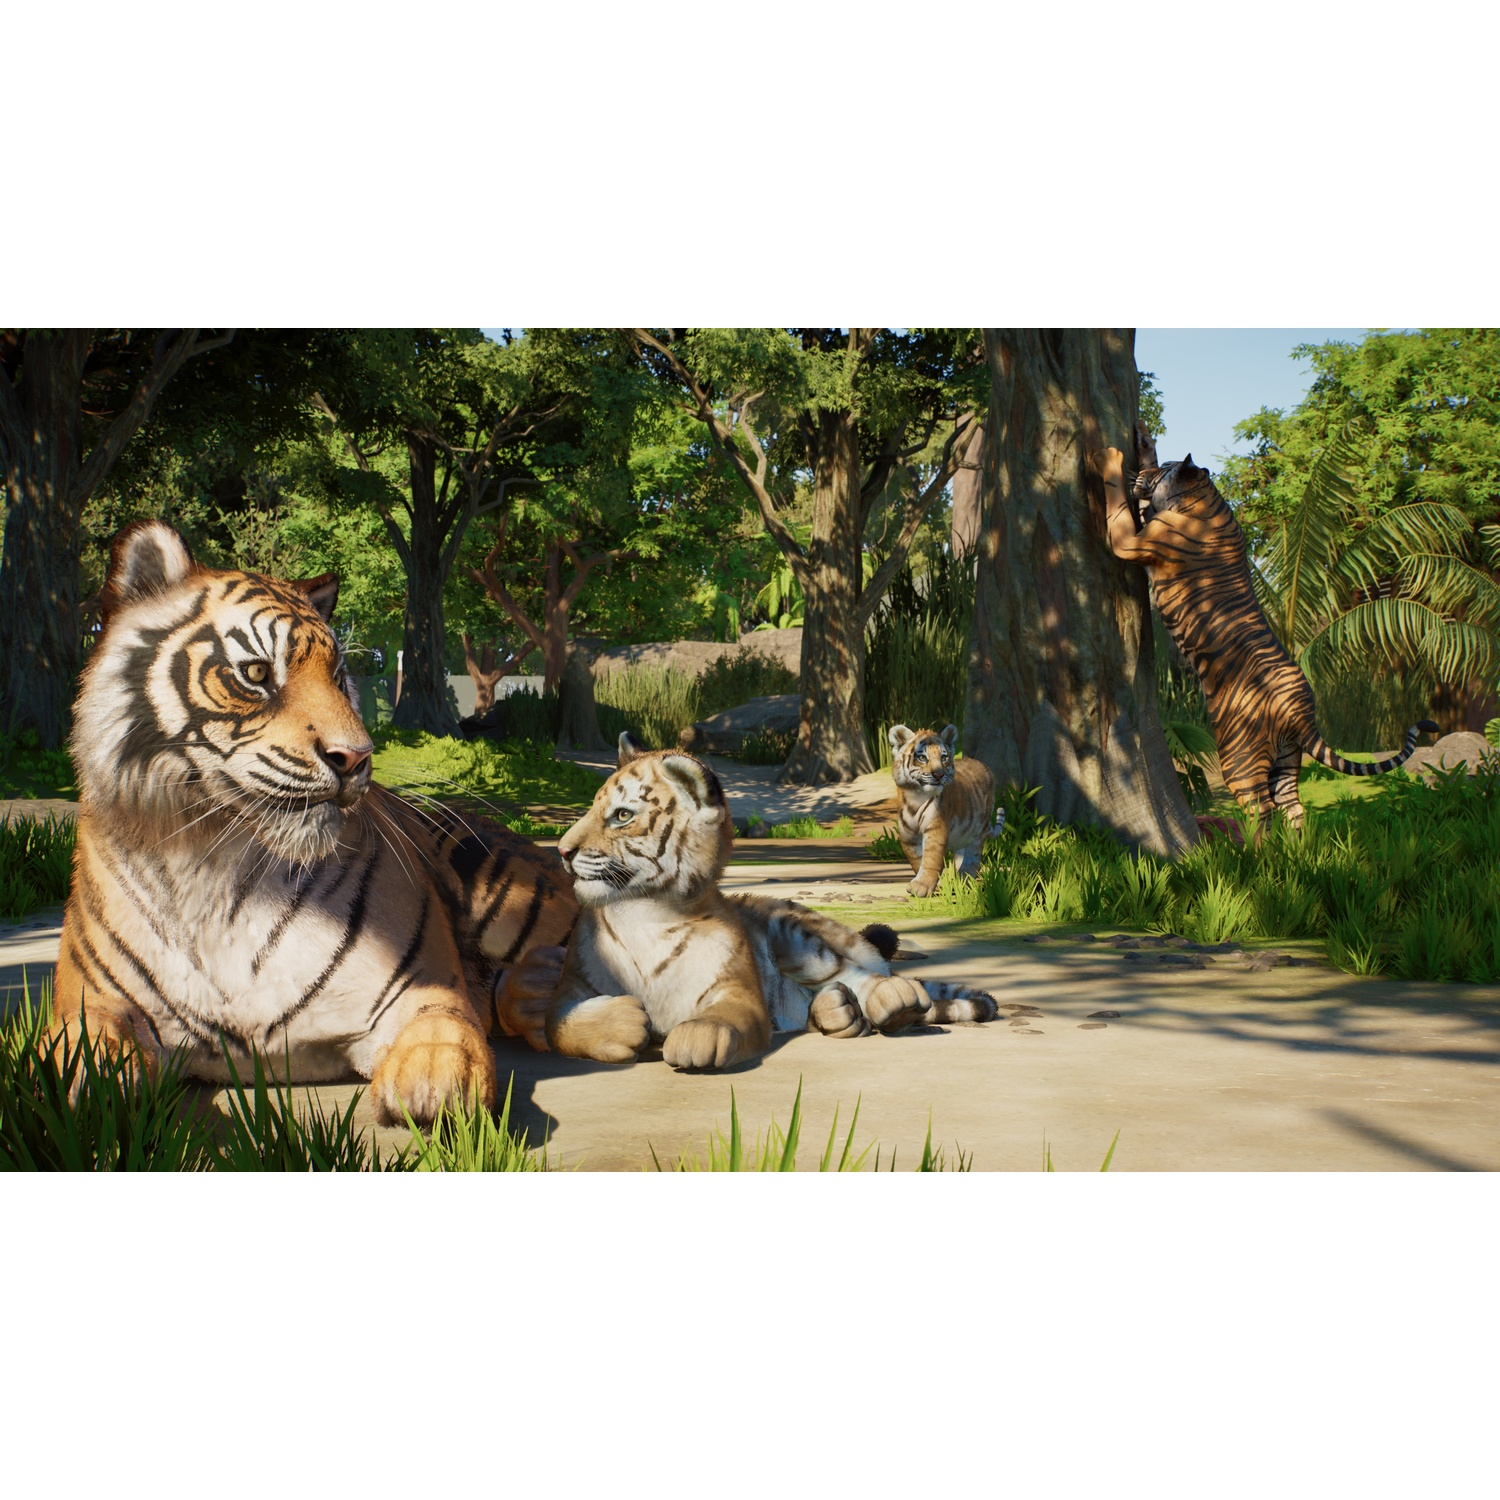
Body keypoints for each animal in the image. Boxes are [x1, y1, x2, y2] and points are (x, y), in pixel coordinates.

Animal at [52, 520, 578, 1125]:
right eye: (258, 673)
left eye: (339, 675)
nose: (356, 757)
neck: (216, 865)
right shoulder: (93, 1000)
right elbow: (79, 1053)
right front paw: (85, 1090)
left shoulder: (421, 988)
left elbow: (445, 1026)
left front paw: (436, 1083)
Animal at [889, 724, 1002, 898]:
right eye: (922, 758)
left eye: (944, 758)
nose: (938, 774)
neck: (916, 796)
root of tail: (984, 765)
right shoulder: (907, 834)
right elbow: (916, 858)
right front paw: (933, 885)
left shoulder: (936, 826)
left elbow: (931, 857)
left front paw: (921, 886)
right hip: (963, 834)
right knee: (961, 854)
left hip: (978, 832)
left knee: (972, 858)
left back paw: (964, 881)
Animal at [1104, 430, 1438, 831]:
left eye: (1165, 469)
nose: (1142, 473)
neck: (1204, 495)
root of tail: (1302, 711)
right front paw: (1141, 441)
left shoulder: (1133, 541)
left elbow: (1117, 507)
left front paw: (1109, 458)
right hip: (1287, 758)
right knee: (1293, 808)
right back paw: (1299, 848)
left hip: (1239, 758)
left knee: (1259, 810)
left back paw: (1245, 848)